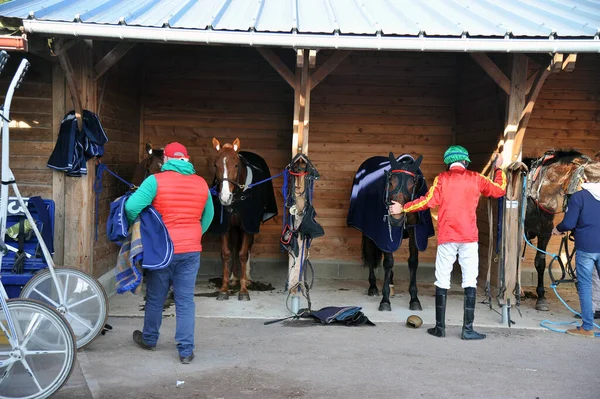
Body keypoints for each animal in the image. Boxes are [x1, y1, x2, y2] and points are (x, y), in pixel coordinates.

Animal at [209, 139, 278, 302]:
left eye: (236, 165)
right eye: (216, 164)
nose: (224, 198)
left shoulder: (248, 224)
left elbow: (243, 254)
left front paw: (243, 290)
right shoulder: (225, 226)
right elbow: (227, 253)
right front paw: (224, 289)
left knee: (247, 247)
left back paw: (247, 278)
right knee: (235, 246)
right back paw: (234, 277)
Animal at [346, 153, 436, 312]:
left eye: (413, 184)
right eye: (391, 182)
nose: (396, 218)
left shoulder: (414, 232)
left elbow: (413, 262)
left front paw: (414, 299)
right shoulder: (384, 235)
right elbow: (388, 262)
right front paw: (385, 300)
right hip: (369, 234)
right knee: (371, 255)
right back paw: (373, 287)